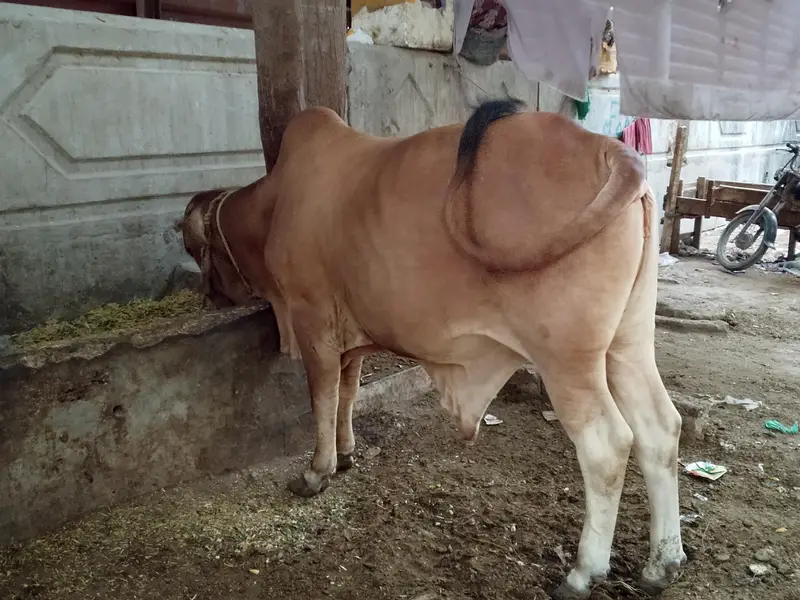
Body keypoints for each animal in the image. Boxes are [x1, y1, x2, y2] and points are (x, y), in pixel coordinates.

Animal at [176, 100, 685, 599]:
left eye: (197, 249)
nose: (207, 298)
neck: (276, 203)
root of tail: (611, 151)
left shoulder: (313, 319)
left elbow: (322, 400)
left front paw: (317, 472)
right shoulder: (351, 337)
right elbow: (347, 396)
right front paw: (346, 454)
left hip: (567, 361)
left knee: (607, 446)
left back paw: (583, 573)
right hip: (628, 343)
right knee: (660, 428)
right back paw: (662, 563)